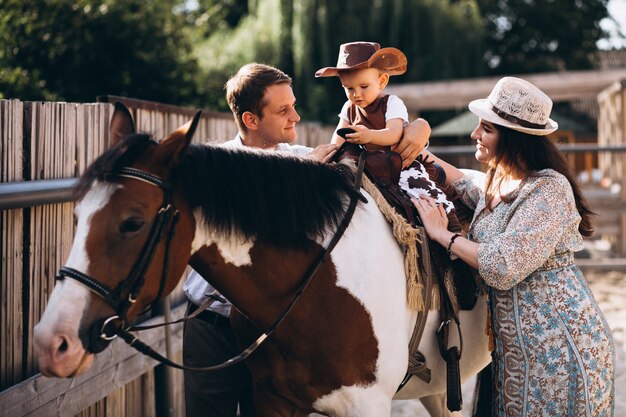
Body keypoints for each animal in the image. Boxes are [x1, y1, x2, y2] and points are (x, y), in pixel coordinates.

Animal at [33, 104, 492, 416]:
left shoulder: (368, 405)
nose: (53, 342)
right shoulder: (271, 400)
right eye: (77, 215)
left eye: (132, 222)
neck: (316, 283)